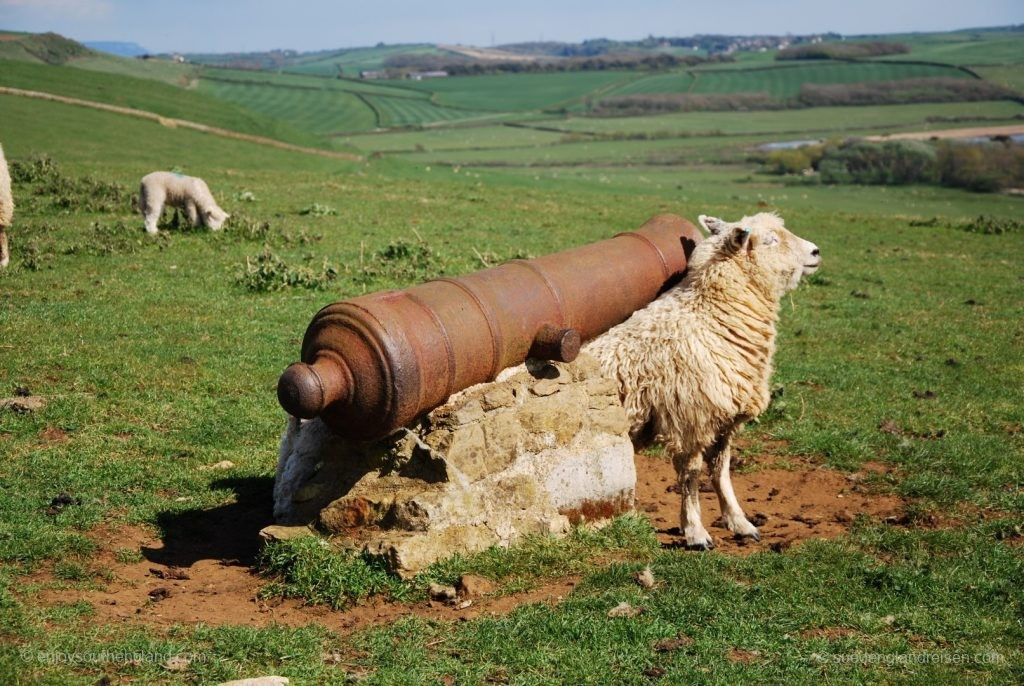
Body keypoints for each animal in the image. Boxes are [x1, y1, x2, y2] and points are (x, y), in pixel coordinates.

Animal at [589, 211, 819, 552]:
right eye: (770, 240)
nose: (816, 251)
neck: (709, 315)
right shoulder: (690, 418)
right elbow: (691, 476)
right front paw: (695, 532)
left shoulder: (722, 417)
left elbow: (721, 471)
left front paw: (739, 522)